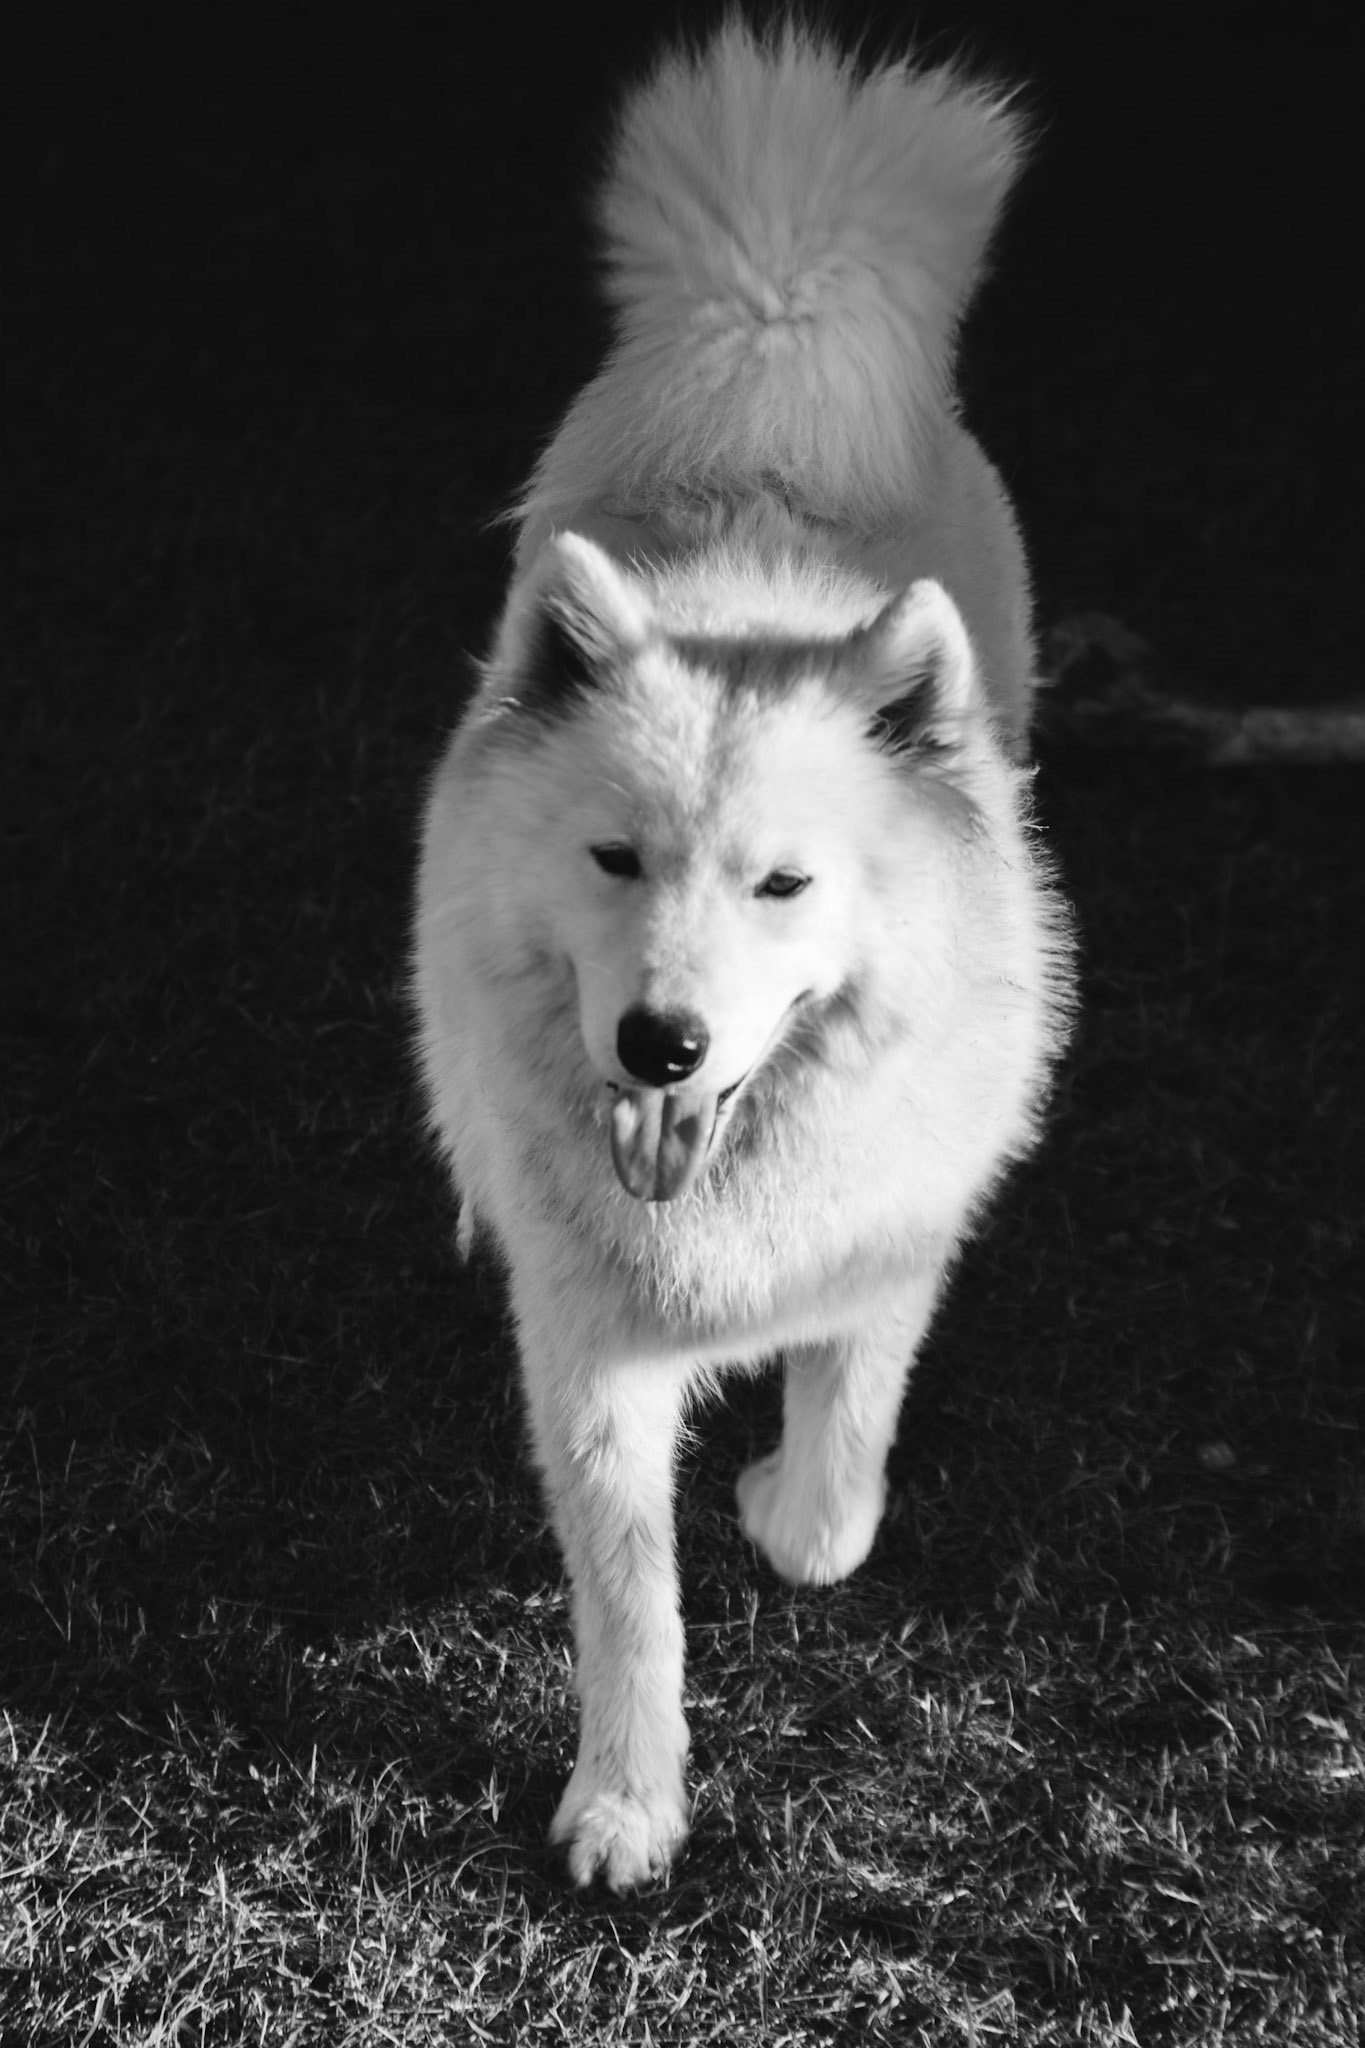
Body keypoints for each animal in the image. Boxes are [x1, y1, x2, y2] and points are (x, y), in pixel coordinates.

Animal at [414, 18, 1074, 1890]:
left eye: (784, 885)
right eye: (615, 860)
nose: (661, 1044)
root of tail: (778, 334)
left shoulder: (897, 1238)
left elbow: (842, 1468)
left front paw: (789, 1510)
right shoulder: (585, 1349)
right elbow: (632, 1596)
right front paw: (627, 1804)